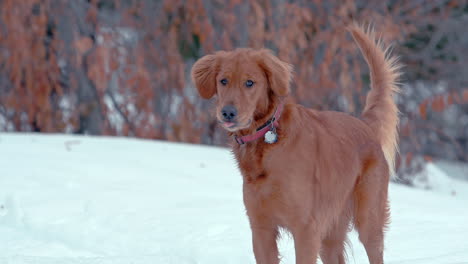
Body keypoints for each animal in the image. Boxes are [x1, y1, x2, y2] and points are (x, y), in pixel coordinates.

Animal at [192, 25, 400, 264]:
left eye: (250, 82)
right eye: (223, 81)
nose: (227, 113)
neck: (266, 140)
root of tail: (364, 124)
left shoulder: (306, 229)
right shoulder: (261, 228)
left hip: (369, 221)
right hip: (330, 234)